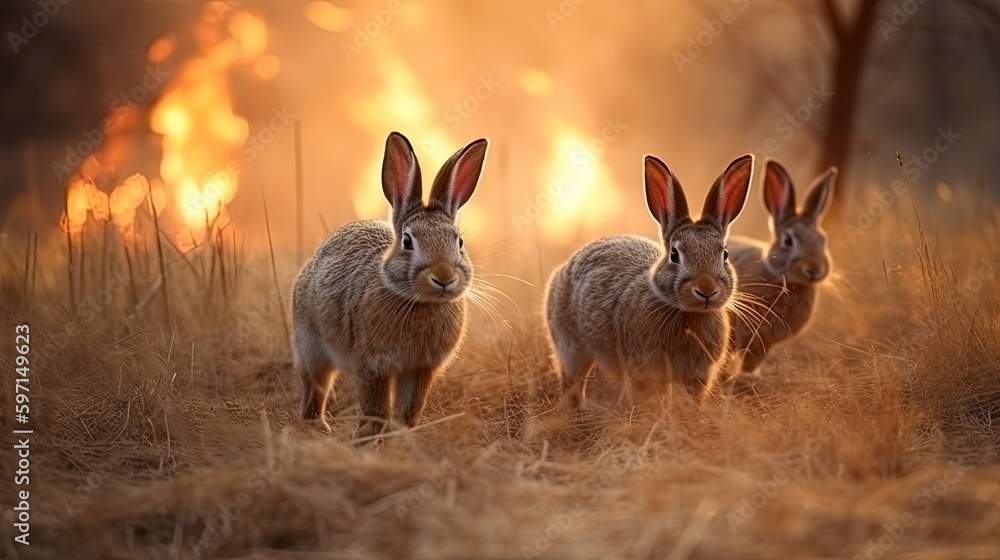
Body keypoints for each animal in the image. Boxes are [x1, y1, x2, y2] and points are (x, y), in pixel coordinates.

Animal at [292, 132, 488, 438]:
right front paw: (369, 438)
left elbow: (409, 408)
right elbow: (376, 408)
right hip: (309, 343)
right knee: (315, 383)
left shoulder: (420, 368)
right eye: (407, 241)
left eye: (459, 241)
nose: (444, 278)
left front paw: (403, 435)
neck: (419, 302)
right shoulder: (373, 364)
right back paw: (317, 426)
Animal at [545, 153, 754, 408]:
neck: (688, 314)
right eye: (674, 254)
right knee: (572, 380)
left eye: (724, 254)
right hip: (570, 345)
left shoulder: (697, 376)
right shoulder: (644, 370)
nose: (706, 290)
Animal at [727, 158, 837, 376]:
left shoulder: (764, 344)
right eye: (788, 240)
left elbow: (752, 361)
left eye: (822, 240)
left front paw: (751, 375)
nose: (814, 269)